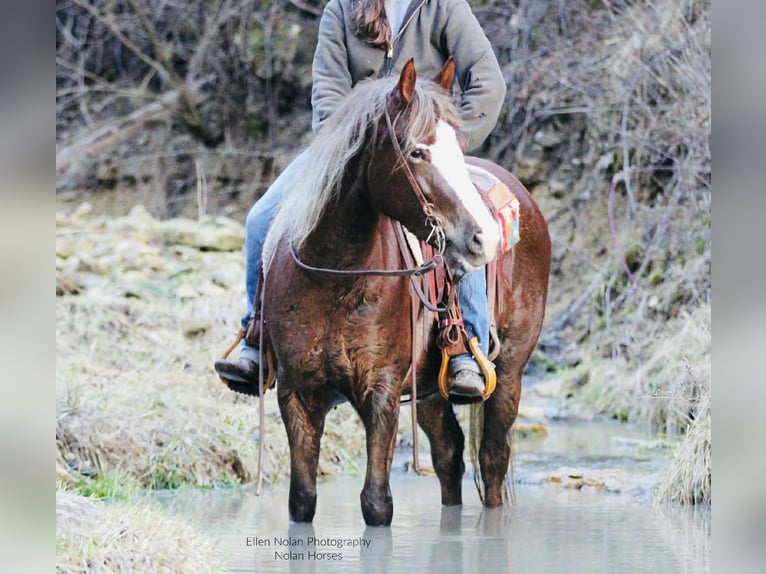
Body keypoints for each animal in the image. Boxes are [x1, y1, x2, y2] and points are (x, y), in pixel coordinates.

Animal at [260, 59, 551, 526]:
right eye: (416, 152)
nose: (483, 238)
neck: (335, 278)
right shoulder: (296, 393)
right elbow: (302, 500)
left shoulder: (381, 393)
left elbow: (377, 502)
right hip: (430, 389)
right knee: (449, 455)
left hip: (509, 373)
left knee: (492, 460)